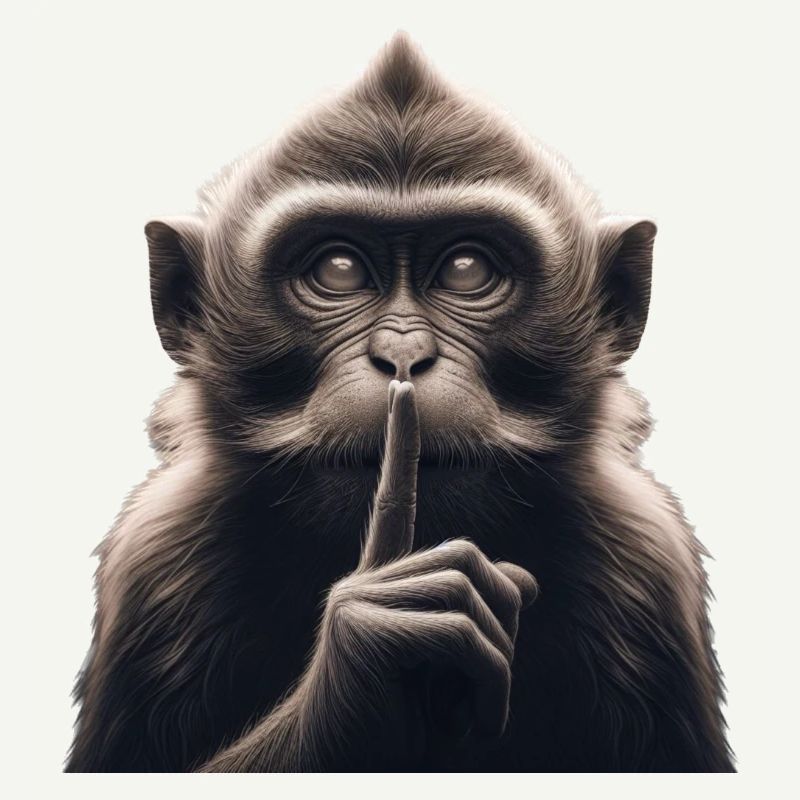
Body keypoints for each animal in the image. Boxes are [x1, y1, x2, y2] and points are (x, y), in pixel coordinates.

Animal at [66, 33, 735, 772]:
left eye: (467, 270)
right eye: (338, 270)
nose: (403, 354)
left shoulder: (648, 561)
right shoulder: (156, 559)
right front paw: (372, 649)